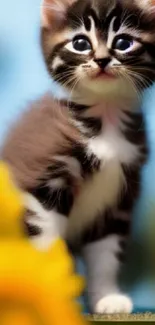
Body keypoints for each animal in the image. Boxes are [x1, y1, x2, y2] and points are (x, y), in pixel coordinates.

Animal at [1, 0, 155, 314]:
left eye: (123, 42)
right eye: (81, 43)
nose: (102, 60)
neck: (105, 119)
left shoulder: (119, 196)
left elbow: (106, 254)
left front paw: (106, 297)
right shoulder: (44, 183)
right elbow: (47, 244)